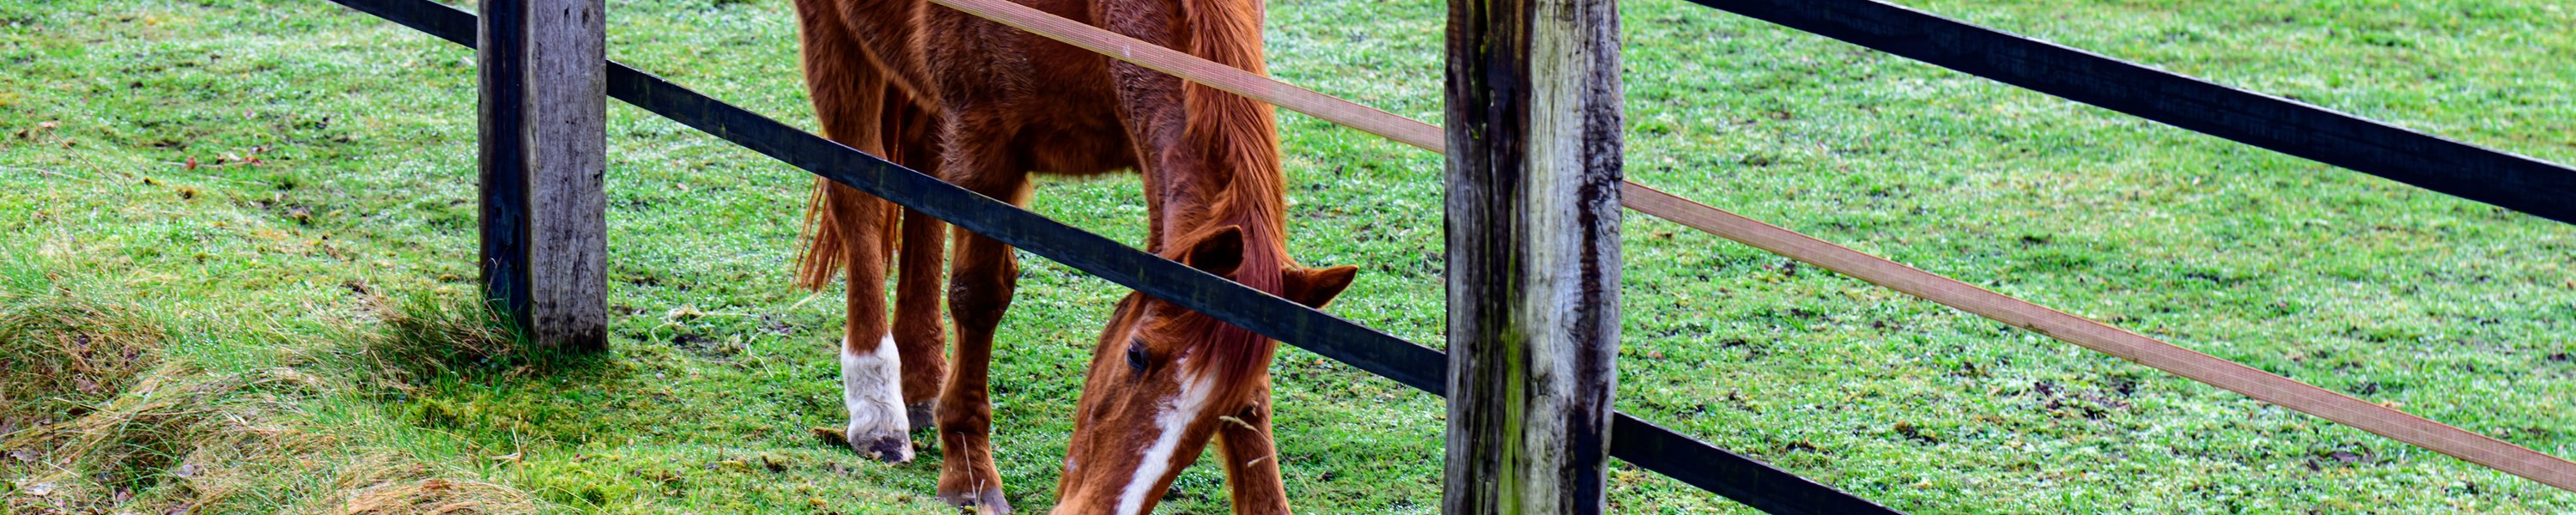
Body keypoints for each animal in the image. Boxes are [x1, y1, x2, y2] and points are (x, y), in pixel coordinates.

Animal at [787, 0, 1358, 509]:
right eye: (1137, 354)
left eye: (1232, 405)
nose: (1099, 509)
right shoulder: (983, 149)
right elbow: (978, 297)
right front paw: (969, 473)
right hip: (833, 39)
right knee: (859, 197)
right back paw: (877, 408)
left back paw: (923, 382)